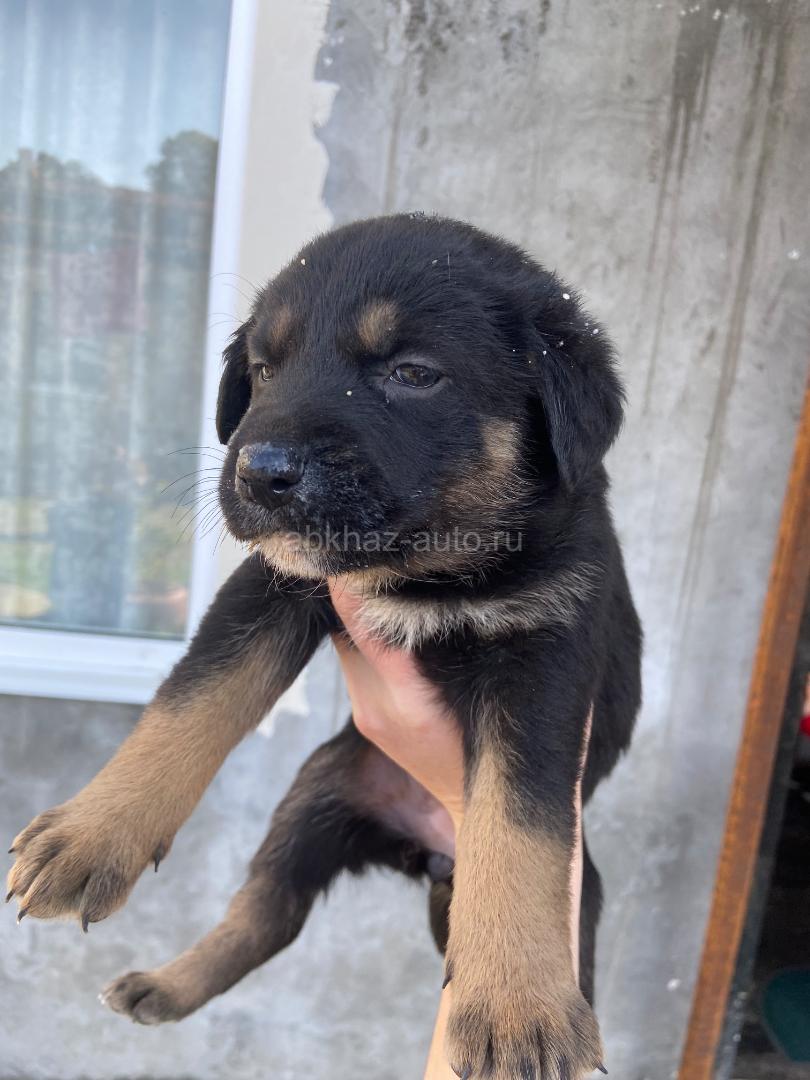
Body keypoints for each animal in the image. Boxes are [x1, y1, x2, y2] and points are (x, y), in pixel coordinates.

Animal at [7, 214, 641, 1080]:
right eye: (264, 370)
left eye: (412, 374)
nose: (258, 472)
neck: (423, 570)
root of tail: (421, 850)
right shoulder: (274, 586)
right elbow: (188, 702)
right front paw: (91, 832)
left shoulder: (545, 653)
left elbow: (521, 825)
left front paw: (520, 1007)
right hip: (314, 798)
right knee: (269, 911)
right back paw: (163, 986)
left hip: (573, 892)